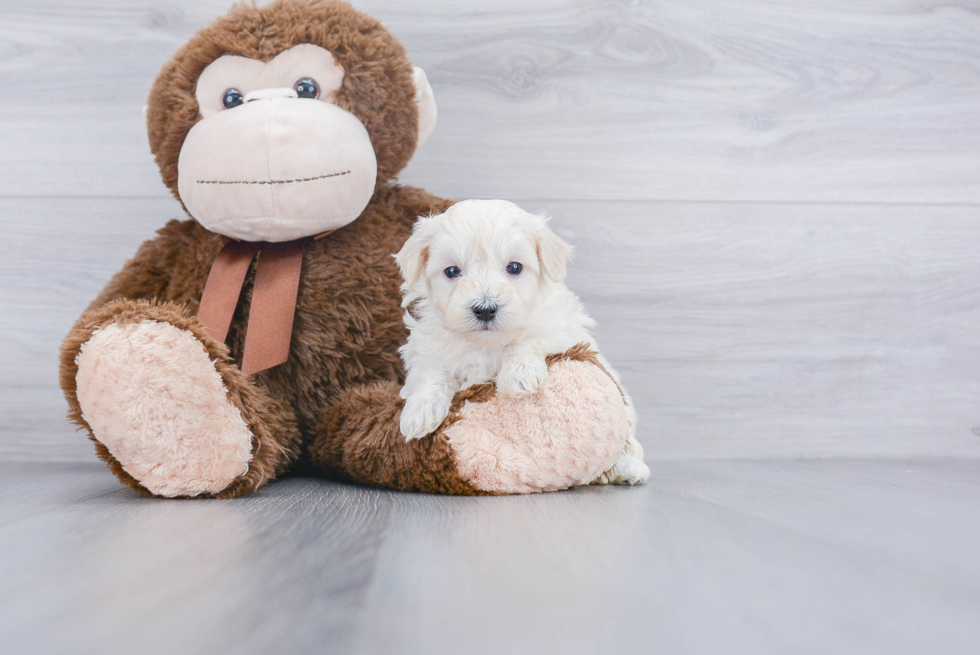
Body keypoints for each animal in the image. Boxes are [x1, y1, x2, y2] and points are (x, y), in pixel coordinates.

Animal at [390, 200, 652, 486]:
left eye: (514, 267)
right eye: (452, 271)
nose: (485, 309)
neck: (487, 343)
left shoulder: (562, 328)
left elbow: (527, 338)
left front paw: (519, 374)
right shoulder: (425, 348)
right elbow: (432, 371)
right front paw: (420, 411)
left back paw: (629, 470)